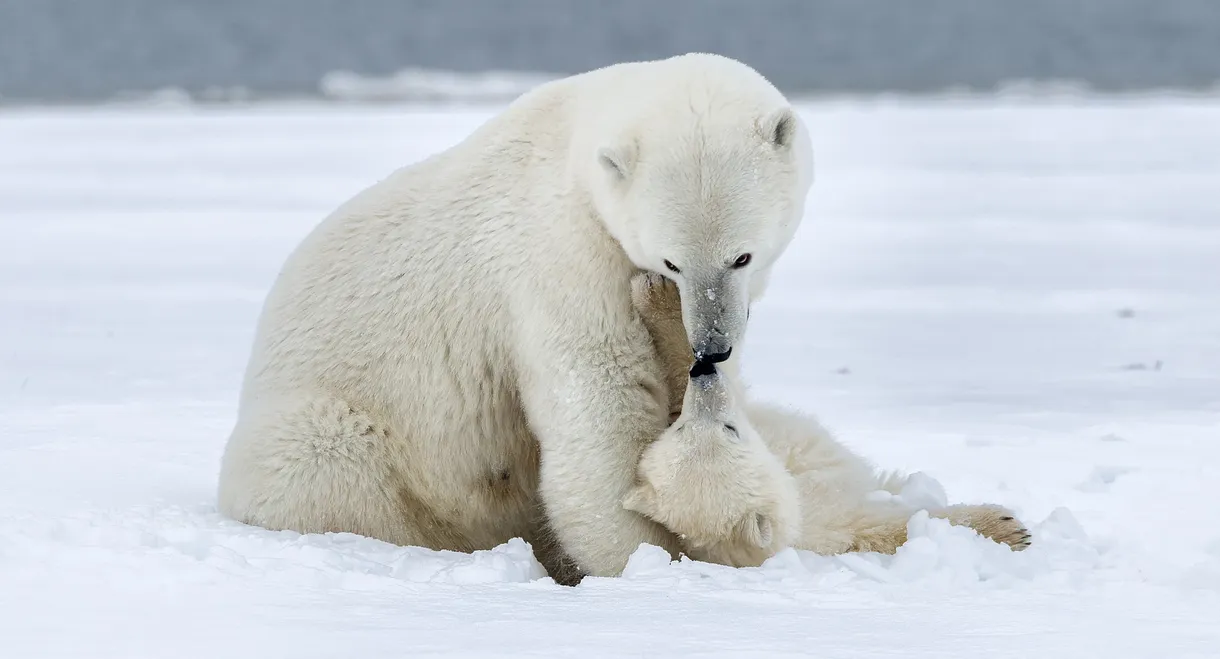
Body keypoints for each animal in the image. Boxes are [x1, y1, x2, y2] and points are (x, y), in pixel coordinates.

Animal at [218, 55, 814, 580]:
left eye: (742, 256)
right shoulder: (563, 257)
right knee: (325, 462)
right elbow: (600, 407)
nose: (710, 348)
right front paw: (646, 558)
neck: (573, 145)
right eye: (672, 261)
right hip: (333, 434)